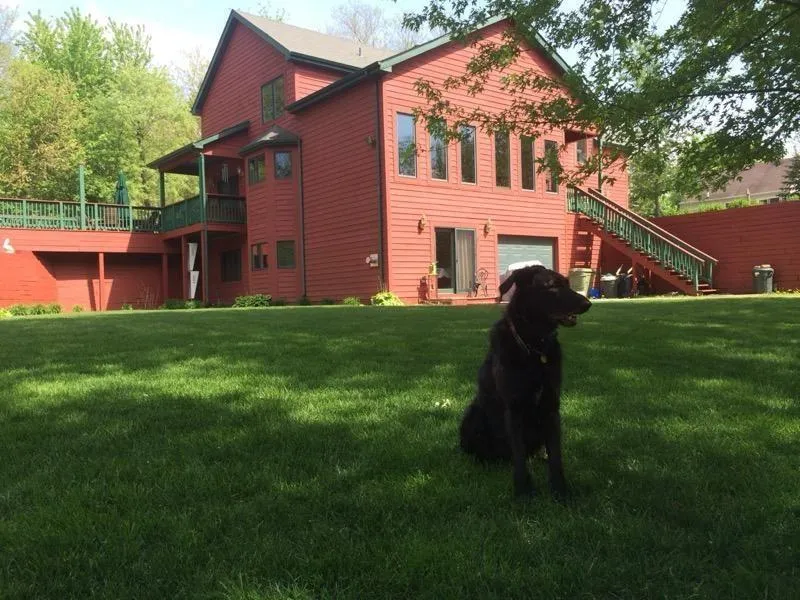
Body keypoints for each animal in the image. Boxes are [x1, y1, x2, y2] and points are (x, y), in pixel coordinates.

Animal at [459, 265, 591, 499]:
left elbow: (556, 455)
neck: (534, 346)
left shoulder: (551, 407)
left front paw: (559, 490)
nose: (587, 303)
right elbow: (519, 455)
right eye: (551, 286)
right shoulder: (514, 409)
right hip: (472, 415)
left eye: (568, 284)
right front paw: (523, 490)